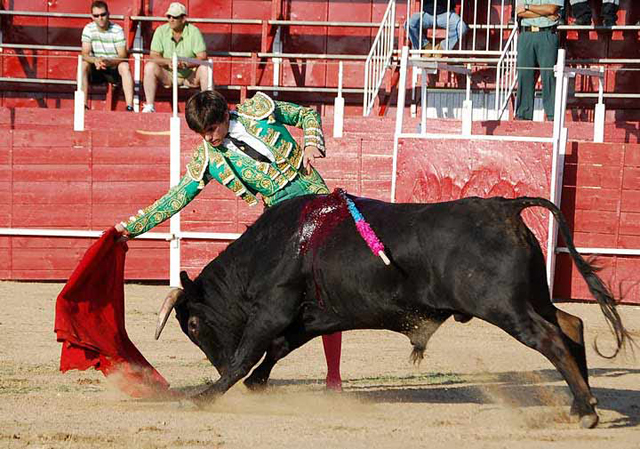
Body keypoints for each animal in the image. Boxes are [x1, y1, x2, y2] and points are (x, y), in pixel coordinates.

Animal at [156, 193, 632, 428]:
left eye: (193, 324)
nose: (213, 364)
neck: (273, 248)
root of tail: (505, 206)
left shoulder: (274, 309)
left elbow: (248, 354)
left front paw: (203, 396)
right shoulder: (309, 317)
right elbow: (276, 350)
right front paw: (255, 385)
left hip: (503, 306)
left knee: (550, 337)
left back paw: (587, 410)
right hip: (531, 297)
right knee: (570, 323)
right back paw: (581, 406)